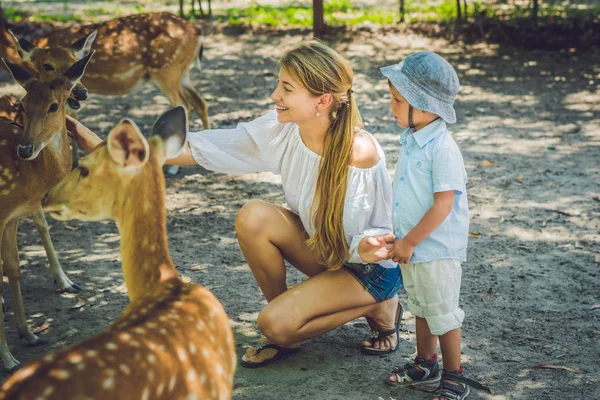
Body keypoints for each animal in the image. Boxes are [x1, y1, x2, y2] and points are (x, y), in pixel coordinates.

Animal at [0, 51, 94, 370]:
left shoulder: (11, 218)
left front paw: (29, 335)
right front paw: (8, 359)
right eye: (22, 105)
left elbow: (13, 269)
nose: (25, 149)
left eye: (54, 105)